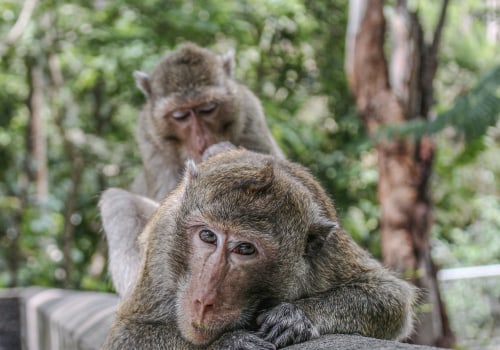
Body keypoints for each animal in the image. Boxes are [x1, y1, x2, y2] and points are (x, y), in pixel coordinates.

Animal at [99, 144, 416, 348]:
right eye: (208, 236)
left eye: (245, 249)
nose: (203, 301)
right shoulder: (164, 244)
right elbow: (128, 334)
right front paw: (228, 343)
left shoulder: (324, 252)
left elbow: (390, 296)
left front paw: (294, 316)